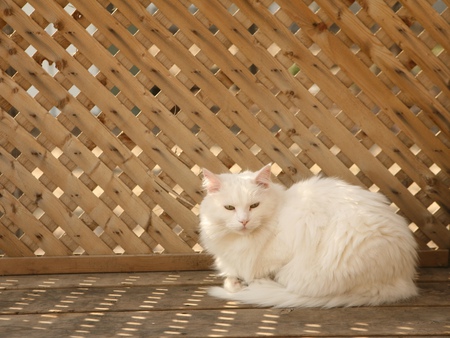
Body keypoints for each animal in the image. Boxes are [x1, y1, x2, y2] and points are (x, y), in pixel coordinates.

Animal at [200, 165, 418, 308]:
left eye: (254, 206)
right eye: (229, 208)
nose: (244, 221)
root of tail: (404, 279)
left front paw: (248, 283)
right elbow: (232, 275)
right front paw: (236, 281)